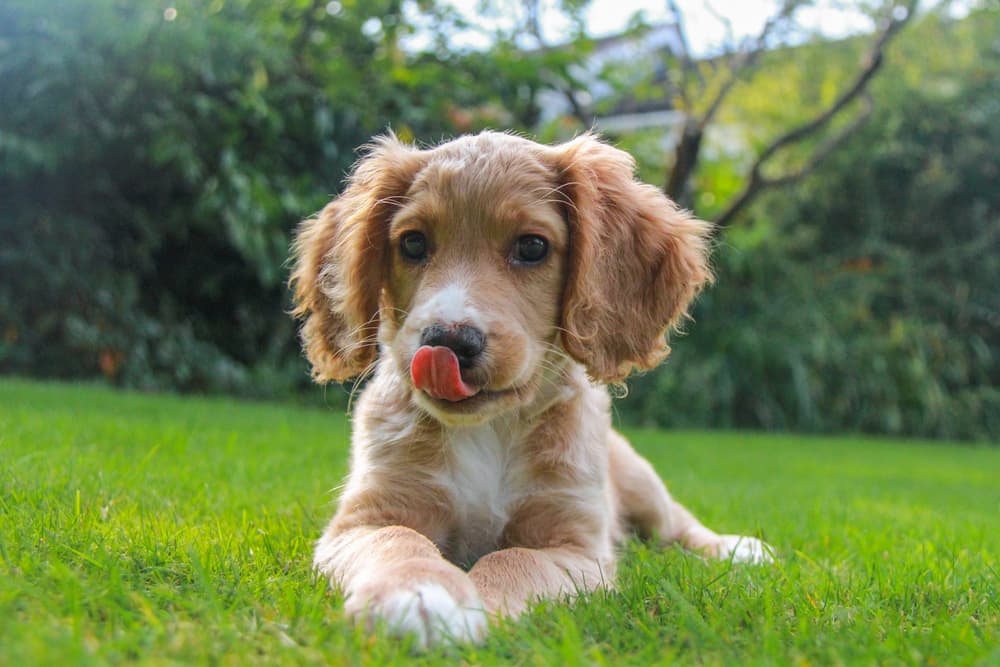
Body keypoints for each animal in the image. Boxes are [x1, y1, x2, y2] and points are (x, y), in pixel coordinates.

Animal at [290, 130, 772, 648]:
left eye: (532, 247)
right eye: (413, 243)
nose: (447, 342)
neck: (488, 429)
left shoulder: (573, 546)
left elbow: (513, 559)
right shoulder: (367, 518)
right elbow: (398, 540)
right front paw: (416, 591)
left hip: (642, 484)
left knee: (676, 525)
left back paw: (737, 549)